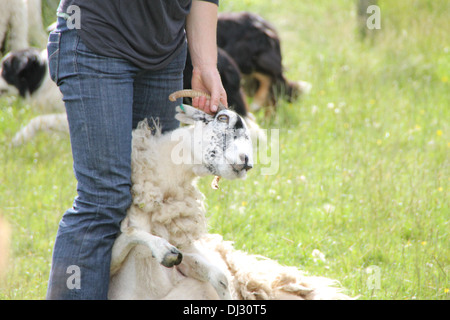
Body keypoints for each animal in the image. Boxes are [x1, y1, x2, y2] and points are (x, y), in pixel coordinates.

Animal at [107, 90, 350, 300]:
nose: (247, 163)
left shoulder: (190, 254)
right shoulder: (111, 266)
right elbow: (131, 233)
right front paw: (163, 249)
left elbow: (220, 277)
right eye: (223, 118)